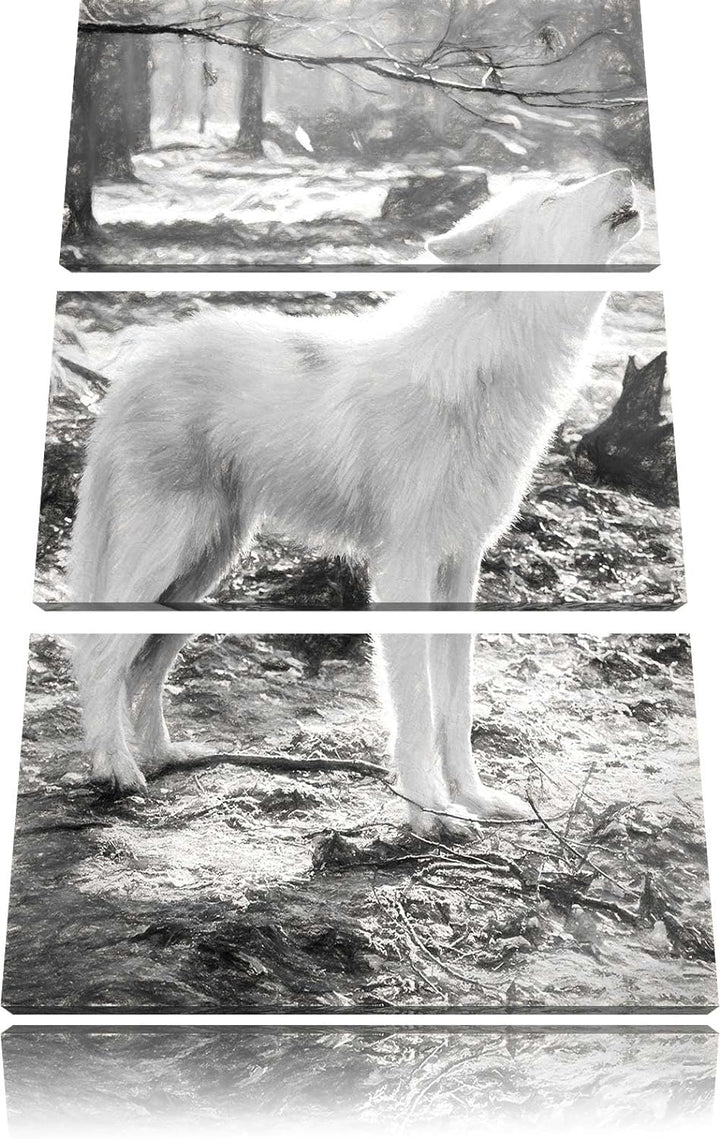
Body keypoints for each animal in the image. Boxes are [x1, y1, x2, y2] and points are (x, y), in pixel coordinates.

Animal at [67, 169, 641, 835]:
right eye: (553, 198)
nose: (627, 172)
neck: (483, 365)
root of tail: (132, 370)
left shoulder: (460, 568)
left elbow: (457, 705)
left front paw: (472, 800)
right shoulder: (404, 571)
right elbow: (416, 706)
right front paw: (430, 813)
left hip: (201, 574)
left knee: (145, 666)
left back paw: (163, 756)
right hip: (166, 558)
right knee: (100, 657)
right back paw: (116, 771)